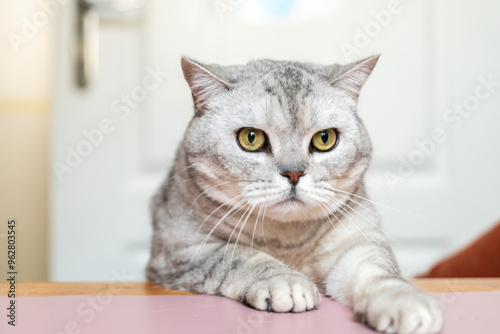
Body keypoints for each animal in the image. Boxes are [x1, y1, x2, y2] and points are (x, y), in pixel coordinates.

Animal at [146, 56, 444, 332]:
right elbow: (240, 255)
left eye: (325, 138)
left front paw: (405, 302)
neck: (288, 242)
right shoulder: (181, 250)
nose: (293, 174)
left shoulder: (358, 242)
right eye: (251, 138)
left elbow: (379, 273)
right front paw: (285, 281)